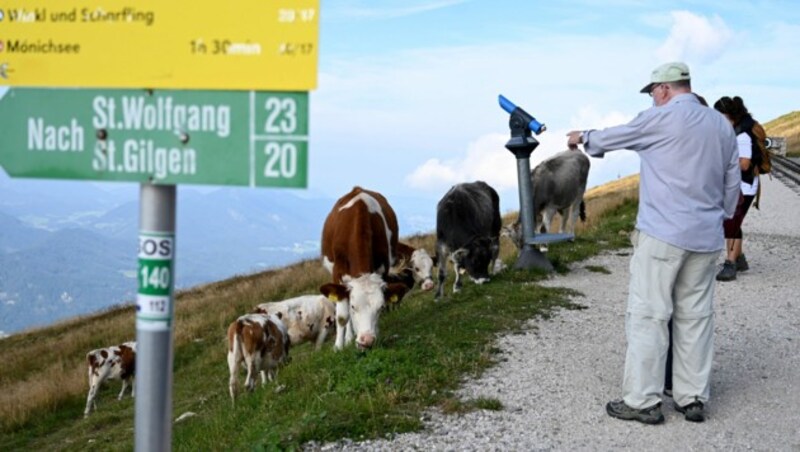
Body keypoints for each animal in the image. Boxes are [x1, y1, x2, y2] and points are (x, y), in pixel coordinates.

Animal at [318, 186, 410, 350]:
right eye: (354, 307)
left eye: (381, 308)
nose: (366, 341)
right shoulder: (337, 273)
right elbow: (342, 316)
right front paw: (339, 346)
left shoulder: (383, 269)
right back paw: (348, 337)